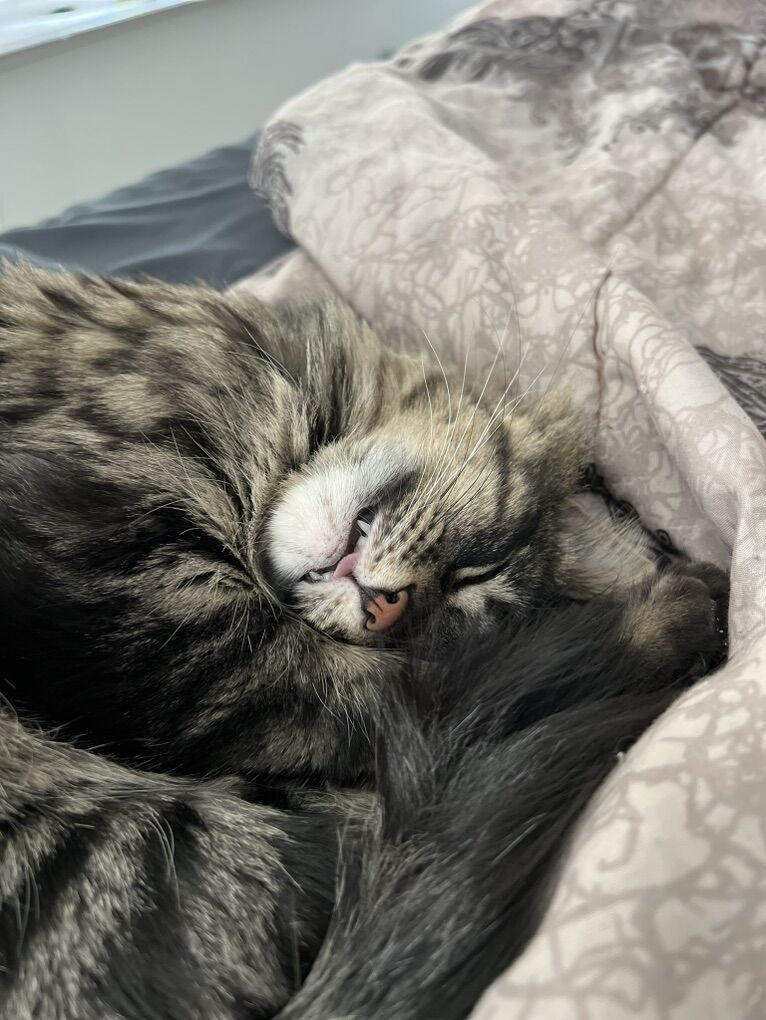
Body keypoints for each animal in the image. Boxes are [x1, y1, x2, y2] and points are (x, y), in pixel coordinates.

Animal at [0, 263, 727, 1019]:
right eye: (474, 571)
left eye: (438, 612)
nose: (383, 607)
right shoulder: (115, 583)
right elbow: (374, 691)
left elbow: (381, 693)